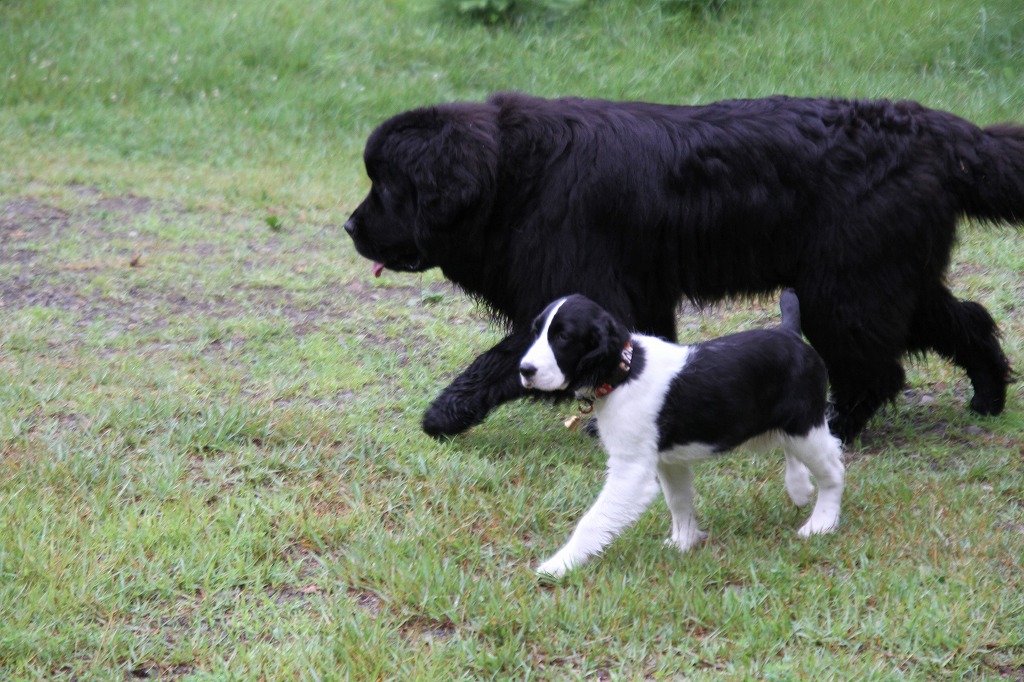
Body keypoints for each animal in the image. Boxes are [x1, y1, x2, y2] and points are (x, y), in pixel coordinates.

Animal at [346, 91, 1024, 440]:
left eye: (386, 184)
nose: (350, 227)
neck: (515, 173)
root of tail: (934, 129)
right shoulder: (631, 294)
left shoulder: (577, 289)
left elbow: (507, 358)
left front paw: (445, 413)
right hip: (882, 275)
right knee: (963, 319)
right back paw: (989, 394)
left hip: (846, 288)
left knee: (876, 369)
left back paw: (840, 423)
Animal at [524, 288, 843, 577]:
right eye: (536, 332)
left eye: (563, 338)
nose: (525, 370)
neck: (626, 369)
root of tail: (790, 334)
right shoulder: (668, 462)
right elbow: (678, 501)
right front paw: (684, 542)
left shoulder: (631, 469)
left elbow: (592, 520)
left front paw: (558, 564)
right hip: (775, 425)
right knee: (791, 448)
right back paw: (799, 487)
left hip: (803, 425)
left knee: (833, 471)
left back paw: (822, 522)